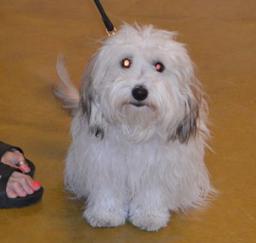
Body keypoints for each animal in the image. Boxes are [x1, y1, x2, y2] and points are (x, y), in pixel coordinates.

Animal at [55, 24, 214, 232]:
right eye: (125, 62)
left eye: (159, 66)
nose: (139, 92)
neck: (135, 128)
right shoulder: (105, 161)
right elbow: (108, 191)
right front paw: (106, 214)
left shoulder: (158, 169)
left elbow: (152, 194)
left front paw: (150, 216)